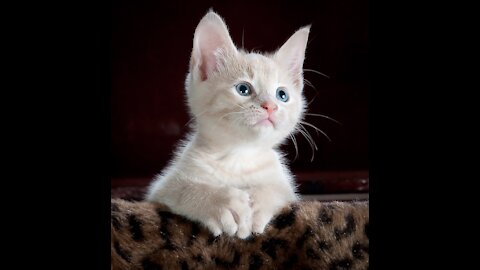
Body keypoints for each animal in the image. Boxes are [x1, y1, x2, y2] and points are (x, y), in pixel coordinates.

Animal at [146, 10, 310, 238]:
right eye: (243, 89)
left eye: (282, 95)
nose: (270, 106)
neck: (239, 156)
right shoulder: (161, 189)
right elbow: (184, 188)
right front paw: (220, 203)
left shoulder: (286, 188)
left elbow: (277, 190)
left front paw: (258, 202)